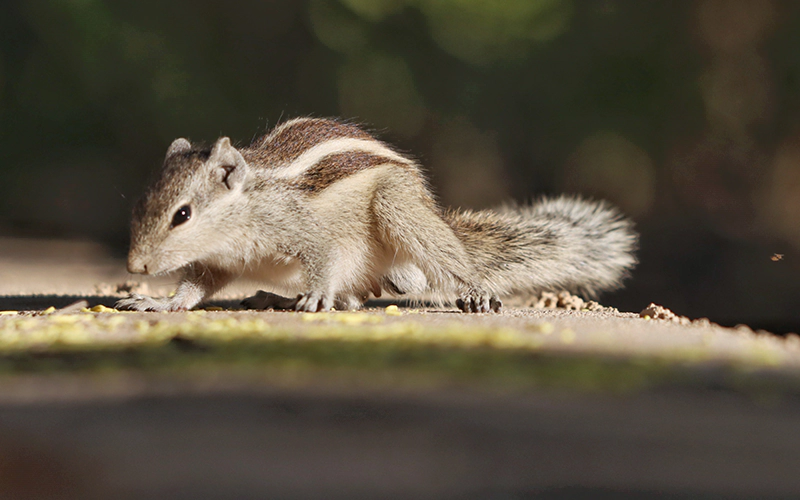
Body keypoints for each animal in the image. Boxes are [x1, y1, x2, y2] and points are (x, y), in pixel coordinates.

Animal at [116, 117, 637, 313]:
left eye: (183, 214)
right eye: (141, 205)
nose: (136, 266)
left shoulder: (304, 230)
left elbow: (323, 258)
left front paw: (316, 294)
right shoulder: (217, 263)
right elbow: (194, 287)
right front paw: (159, 303)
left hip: (398, 209)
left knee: (448, 262)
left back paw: (473, 292)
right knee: (360, 294)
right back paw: (273, 295)